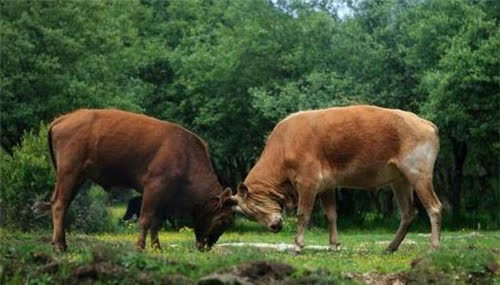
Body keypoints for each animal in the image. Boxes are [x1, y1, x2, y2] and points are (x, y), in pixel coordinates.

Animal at [34, 108, 235, 251]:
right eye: (223, 220)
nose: (207, 246)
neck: (186, 155)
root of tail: (63, 119)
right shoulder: (154, 186)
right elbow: (146, 218)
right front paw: (140, 246)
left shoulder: (164, 195)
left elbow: (156, 221)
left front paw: (157, 248)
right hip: (69, 173)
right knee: (60, 204)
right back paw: (60, 246)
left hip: (77, 177)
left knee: (62, 203)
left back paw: (60, 243)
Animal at [234, 105, 442, 252]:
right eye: (251, 215)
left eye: (256, 208)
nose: (274, 226)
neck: (284, 146)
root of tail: (424, 122)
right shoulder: (327, 185)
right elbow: (331, 214)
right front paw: (333, 245)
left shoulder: (308, 182)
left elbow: (303, 214)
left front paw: (298, 244)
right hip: (400, 180)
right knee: (408, 213)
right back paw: (390, 247)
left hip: (418, 174)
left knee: (434, 207)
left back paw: (434, 246)